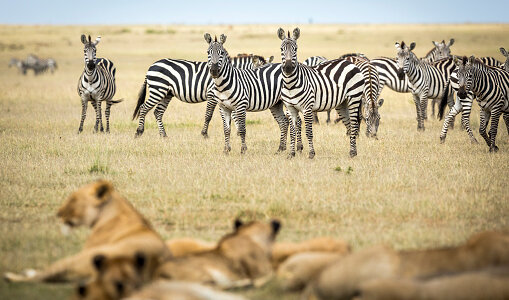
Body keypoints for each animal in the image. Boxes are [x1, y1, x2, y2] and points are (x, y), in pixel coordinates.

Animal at [132, 53, 274, 139]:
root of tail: (151, 66)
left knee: (158, 112)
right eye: (261, 73)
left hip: (166, 93)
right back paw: (139, 132)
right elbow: (208, 115)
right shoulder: (212, 94)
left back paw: (164, 135)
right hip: (158, 89)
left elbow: (233, 115)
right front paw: (204, 134)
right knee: (143, 108)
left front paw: (239, 132)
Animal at [278, 28, 366, 158]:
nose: (288, 68)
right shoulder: (290, 108)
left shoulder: (307, 108)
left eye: (296, 49)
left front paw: (311, 154)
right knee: (349, 125)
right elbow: (292, 133)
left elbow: (309, 132)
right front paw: (291, 154)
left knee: (354, 125)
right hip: (342, 103)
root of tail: (350, 63)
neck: (290, 84)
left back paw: (353, 153)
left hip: (354, 98)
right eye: (281, 49)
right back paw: (352, 152)